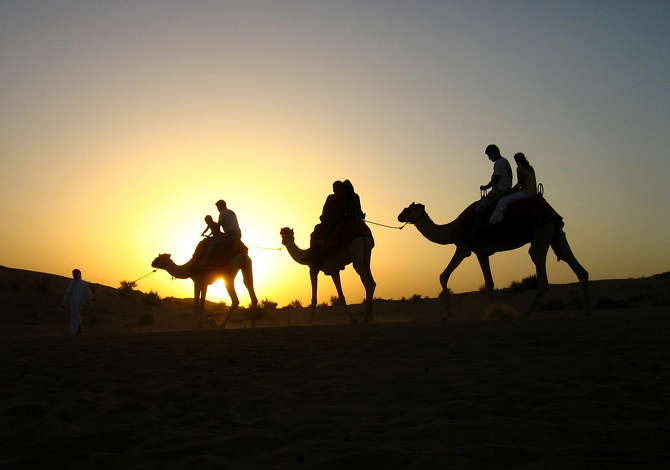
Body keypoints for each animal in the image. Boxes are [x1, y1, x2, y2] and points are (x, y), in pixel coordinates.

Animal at [402, 200, 592, 318]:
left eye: (408, 209)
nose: (399, 216)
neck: (452, 230)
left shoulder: (464, 247)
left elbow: (443, 275)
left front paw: (447, 315)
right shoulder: (481, 253)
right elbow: (489, 282)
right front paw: (494, 311)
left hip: (541, 233)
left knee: (542, 271)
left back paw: (525, 314)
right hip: (555, 232)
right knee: (576, 265)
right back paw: (586, 312)